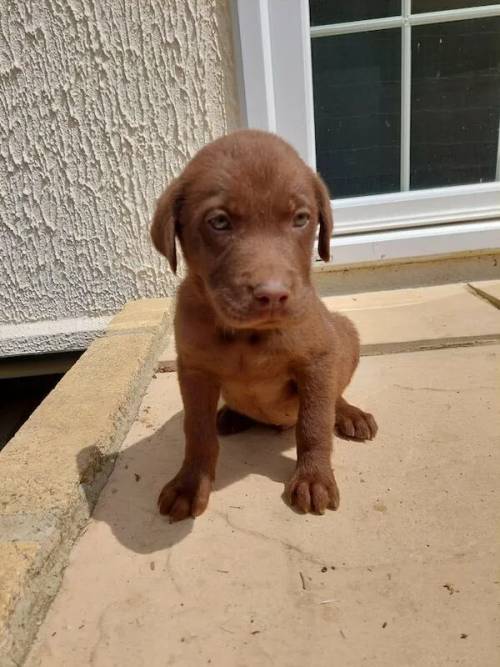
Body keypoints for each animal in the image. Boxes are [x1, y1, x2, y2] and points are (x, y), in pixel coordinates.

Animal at [150, 129, 376, 520]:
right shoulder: (193, 369)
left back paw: (349, 413)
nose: (272, 294)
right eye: (219, 222)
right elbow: (197, 432)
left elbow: (314, 424)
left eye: (301, 218)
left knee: (334, 396)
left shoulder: (317, 360)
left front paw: (314, 478)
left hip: (344, 332)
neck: (247, 336)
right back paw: (230, 415)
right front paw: (190, 484)